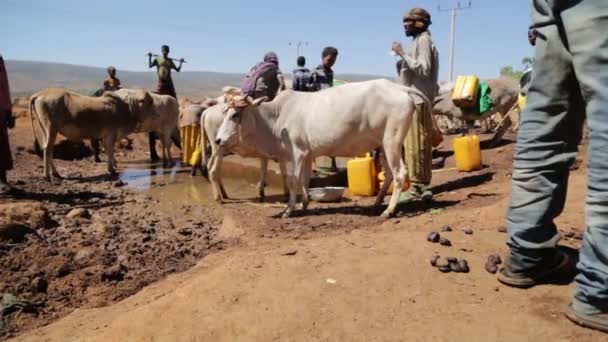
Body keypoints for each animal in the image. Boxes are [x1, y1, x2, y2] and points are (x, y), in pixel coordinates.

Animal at [216, 79, 430, 218]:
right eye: (225, 114)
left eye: (235, 115)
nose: (217, 140)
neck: (276, 117)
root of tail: (401, 88)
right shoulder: (307, 154)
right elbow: (305, 180)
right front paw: (304, 204)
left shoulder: (297, 153)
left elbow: (293, 181)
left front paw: (289, 210)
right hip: (384, 144)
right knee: (389, 173)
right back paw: (378, 203)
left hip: (392, 140)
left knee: (399, 173)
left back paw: (388, 211)